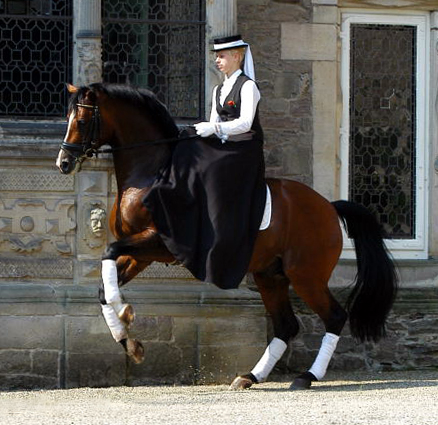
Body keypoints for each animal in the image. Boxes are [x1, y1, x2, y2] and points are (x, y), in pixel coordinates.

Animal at [54, 81, 396, 390]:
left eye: (81, 122)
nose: (63, 163)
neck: (150, 174)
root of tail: (329, 206)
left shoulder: (159, 243)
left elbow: (108, 253)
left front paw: (124, 312)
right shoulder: (143, 252)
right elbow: (104, 282)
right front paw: (129, 341)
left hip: (306, 275)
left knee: (334, 316)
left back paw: (306, 377)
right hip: (270, 275)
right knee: (286, 325)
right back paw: (250, 377)